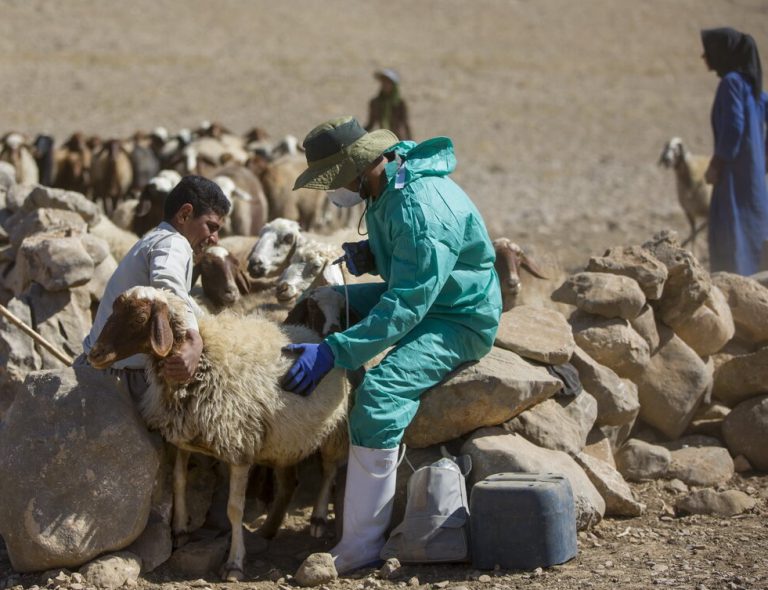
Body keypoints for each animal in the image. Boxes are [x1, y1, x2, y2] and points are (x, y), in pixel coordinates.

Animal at [89, 286, 352, 584]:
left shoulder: (239, 447)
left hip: (333, 427)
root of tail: (312, 335)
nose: (95, 354)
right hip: (286, 440)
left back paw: (318, 519)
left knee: (329, 470)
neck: (201, 363)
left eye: (139, 318)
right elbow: (178, 481)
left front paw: (235, 563)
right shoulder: (182, 437)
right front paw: (180, 530)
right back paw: (268, 530)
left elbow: (234, 509)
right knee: (288, 484)